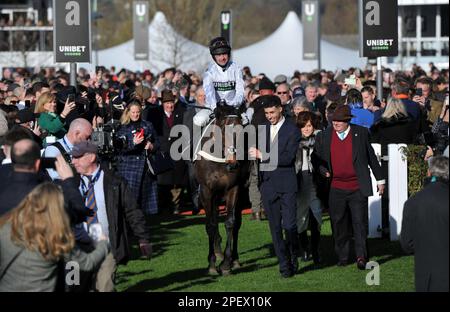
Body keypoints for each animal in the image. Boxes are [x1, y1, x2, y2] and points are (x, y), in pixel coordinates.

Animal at [193, 103, 250, 274]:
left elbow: (230, 222)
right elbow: (210, 224)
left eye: (241, 131)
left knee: (236, 223)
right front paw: (212, 264)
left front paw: (226, 263)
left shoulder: (234, 188)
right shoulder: (206, 191)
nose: (233, 164)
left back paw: (234, 259)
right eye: (224, 130)